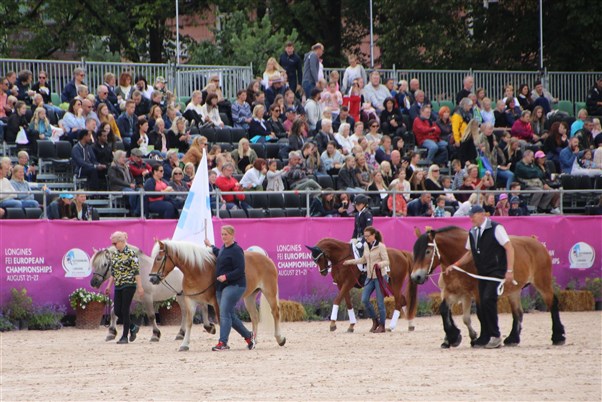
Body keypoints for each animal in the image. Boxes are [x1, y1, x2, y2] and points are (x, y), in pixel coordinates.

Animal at [147, 240, 284, 350]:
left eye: (159, 258)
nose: (152, 279)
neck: (198, 270)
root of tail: (266, 258)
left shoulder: (216, 302)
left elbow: (221, 320)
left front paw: (223, 343)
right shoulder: (191, 300)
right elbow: (189, 322)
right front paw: (184, 345)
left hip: (269, 292)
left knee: (275, 312)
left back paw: (280, 339)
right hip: (249, 297)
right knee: (254, 317)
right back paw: (253, 341)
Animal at [410, 226, 564, 348]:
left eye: (428, 251)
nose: (415, 277)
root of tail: (536, 242)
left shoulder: (475, 293)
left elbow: (480, 313)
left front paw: (479, 339)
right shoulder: (451, 293)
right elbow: (444, 311)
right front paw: (453, 337)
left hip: (542, 283)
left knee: (552, 303)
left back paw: (558, 336)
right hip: (514, 291)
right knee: (518, 312)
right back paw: (512, 339)